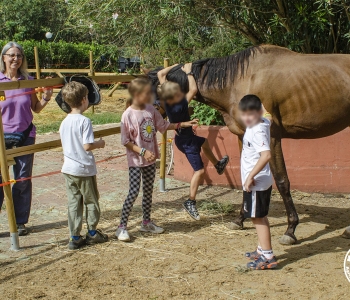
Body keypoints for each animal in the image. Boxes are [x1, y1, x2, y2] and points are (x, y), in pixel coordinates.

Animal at [148, 45, 350, 244]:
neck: (240, 80)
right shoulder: (243, 136)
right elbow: (246, 175)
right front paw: (240, 220)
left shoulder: (271, 138)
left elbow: (282, 180)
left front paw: (291, 229)